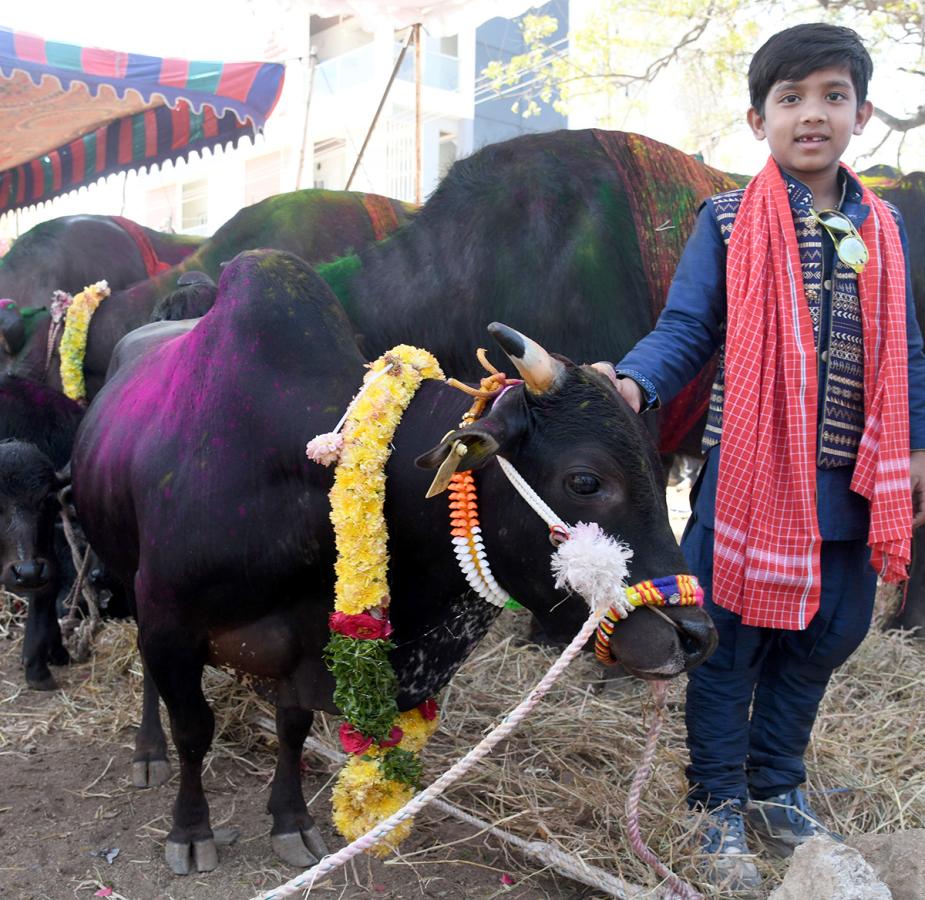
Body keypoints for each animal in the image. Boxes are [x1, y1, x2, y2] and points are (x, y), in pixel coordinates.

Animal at [76, 250, 720, 876]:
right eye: (586, 480)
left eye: (659, 470)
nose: (695, 636)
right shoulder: (170, 623)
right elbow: (193, 729)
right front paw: (190, 831)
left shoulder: (307, 645)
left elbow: (292, 729)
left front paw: (290, 821)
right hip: (130, 584)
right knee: (151, 684)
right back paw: (148, 752)